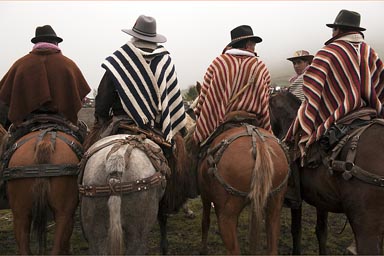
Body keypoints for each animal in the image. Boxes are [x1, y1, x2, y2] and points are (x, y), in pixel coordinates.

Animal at [186, 120, 288, 254]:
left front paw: (203, 249)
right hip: (274, 207)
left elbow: (205, 221)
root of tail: (258, 143)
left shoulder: (205, 196)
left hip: (226, 216)